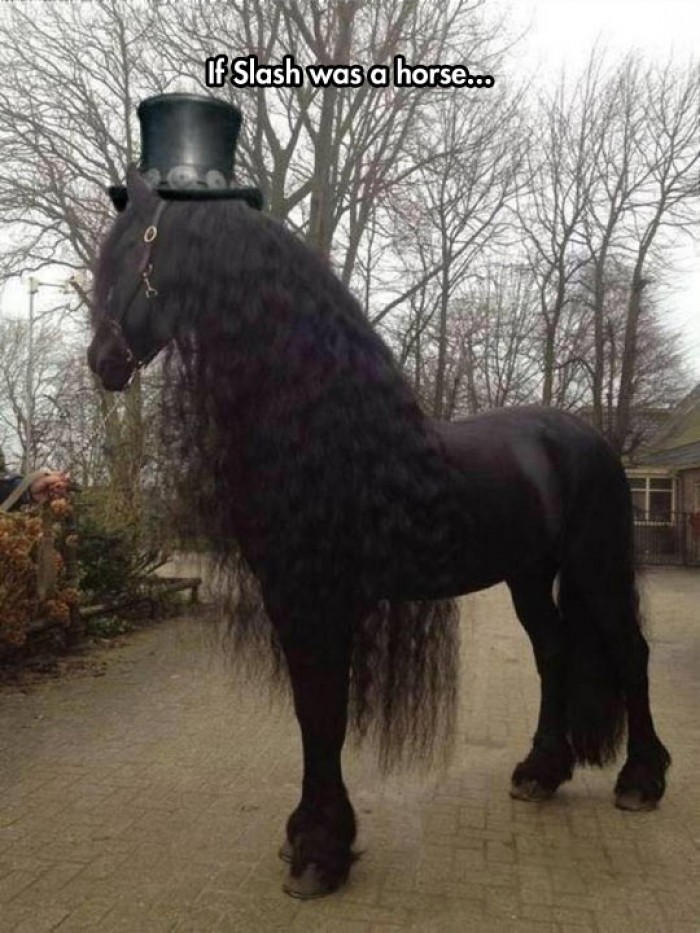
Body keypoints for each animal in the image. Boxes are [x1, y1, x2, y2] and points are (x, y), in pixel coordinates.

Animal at [87, 165, 670, 899]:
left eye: (140, 249)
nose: (102, 361)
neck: (326, 431)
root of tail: (584, 436)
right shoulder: (288, 594)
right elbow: (311, 709)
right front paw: (309, 834)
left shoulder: (326, 595)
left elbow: (326, 710)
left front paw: (321, 850)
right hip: (529, 576)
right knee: (554, 652)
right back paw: (540, 771)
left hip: (596, 564)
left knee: (630, 652)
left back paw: (641, 781)